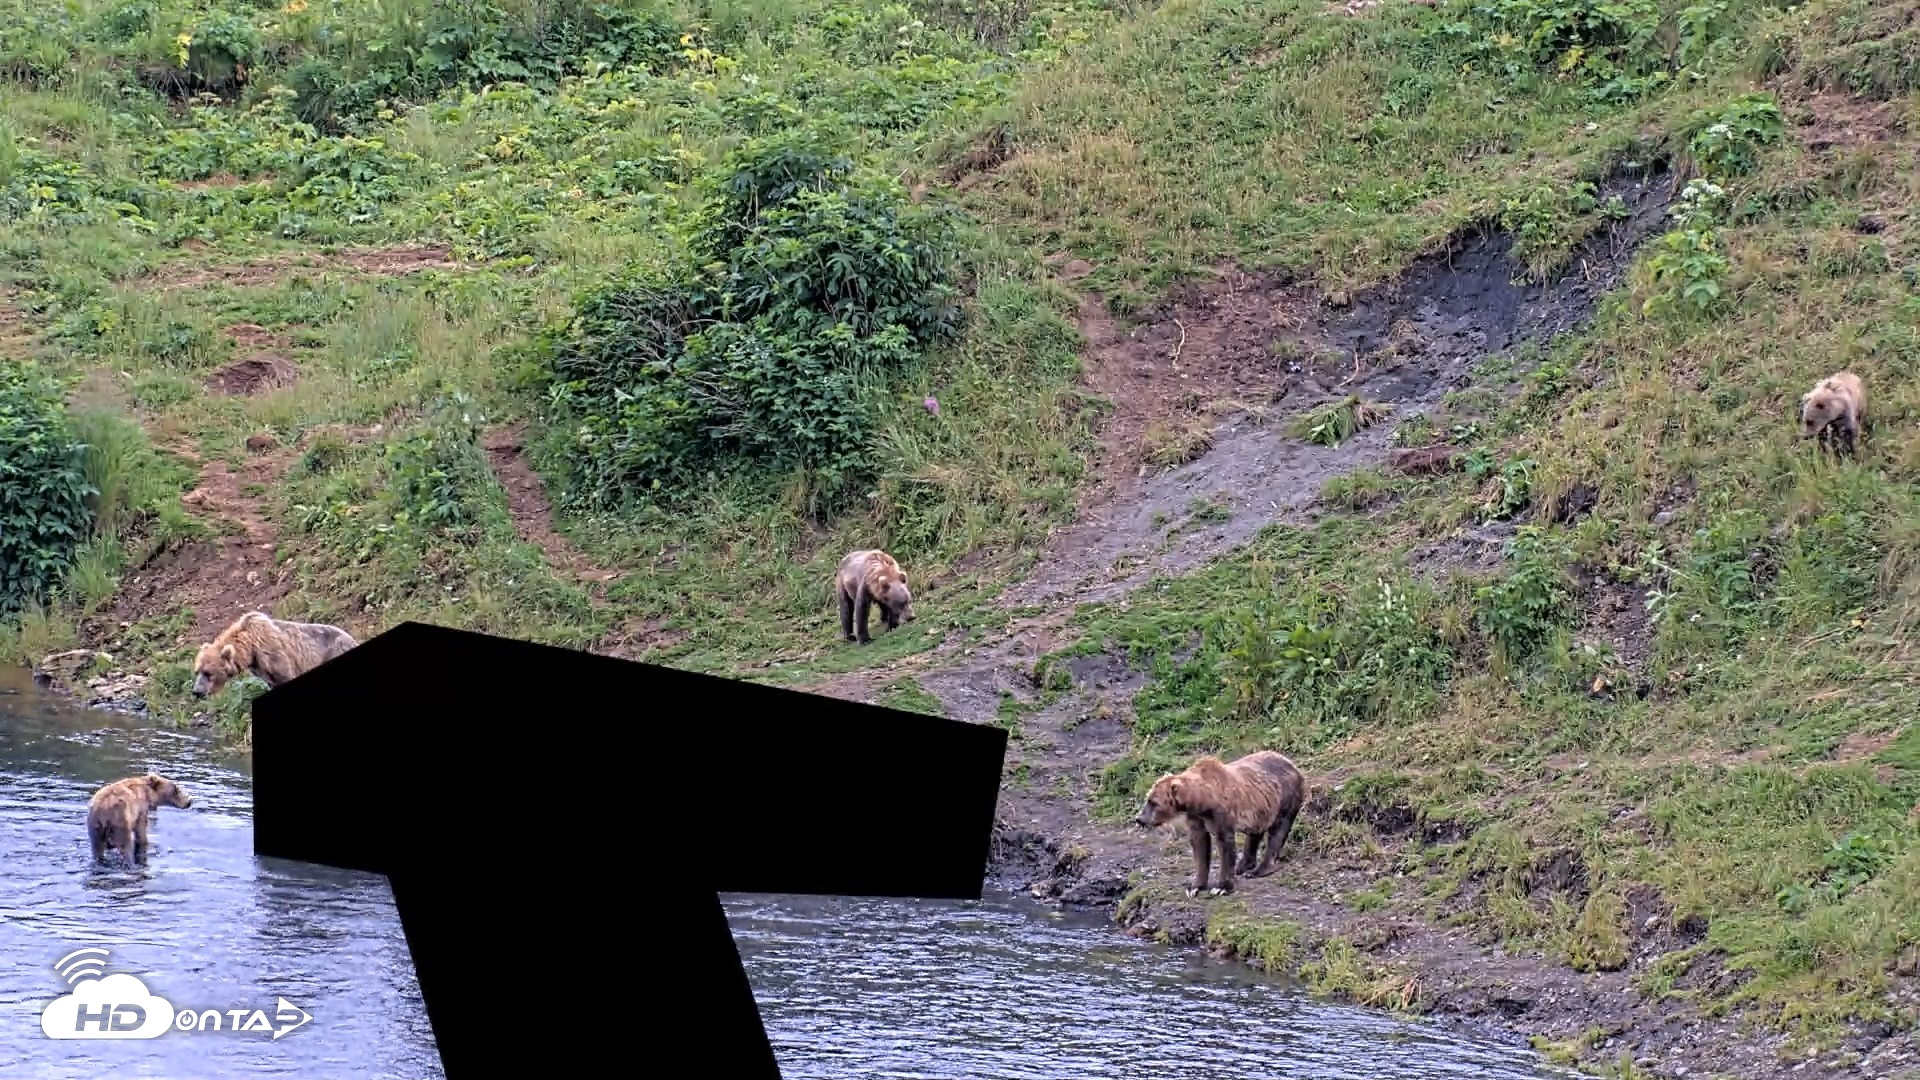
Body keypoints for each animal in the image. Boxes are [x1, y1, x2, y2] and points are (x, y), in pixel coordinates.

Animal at [191, 611, 358, 698]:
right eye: (197, 671)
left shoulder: (277, 657)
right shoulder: (263, 671)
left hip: (334, 651)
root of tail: (352, 638)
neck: (251, 647)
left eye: (208, 673)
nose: (197, 691)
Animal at [1135, 749, 1306, 898]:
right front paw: (1195, 886)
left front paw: (1221, 887)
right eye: (1148, 799)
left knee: (1278, 830)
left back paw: (1259, 869)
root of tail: (1292, 764)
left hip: (1286, 796)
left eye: (1154, 802)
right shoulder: (1196, 818)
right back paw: (1243, 866)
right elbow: (1200, 845)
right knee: (1255, 832)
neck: (1202, 800)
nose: (1139, 819)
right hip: (1261, 806)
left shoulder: (1221, 814)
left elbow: (1225, 845)